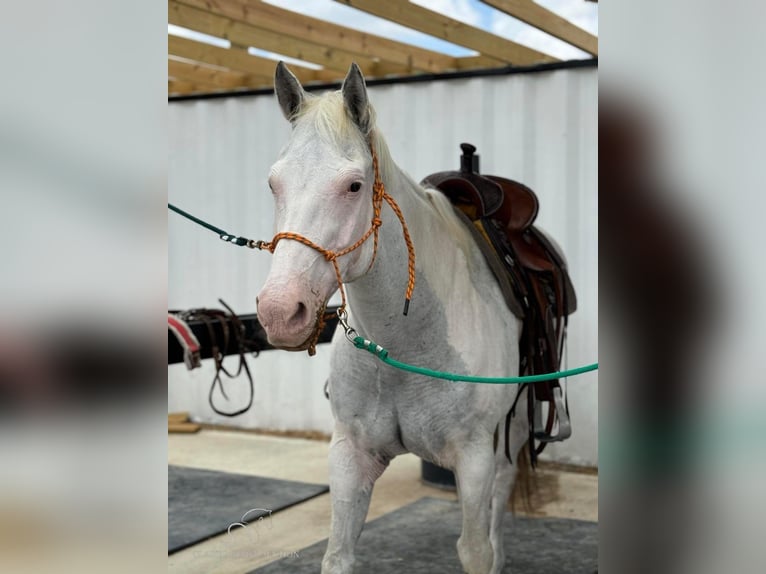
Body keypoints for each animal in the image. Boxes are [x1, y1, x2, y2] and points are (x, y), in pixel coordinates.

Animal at [255, 63, 532, 574]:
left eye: (354, 186)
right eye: (273, 183)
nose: (280, 312)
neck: (404, 341)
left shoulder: (475, 456)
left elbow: (474, 549)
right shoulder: (350, 454)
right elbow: (338, 555)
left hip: (515, 424)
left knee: (503, 489)